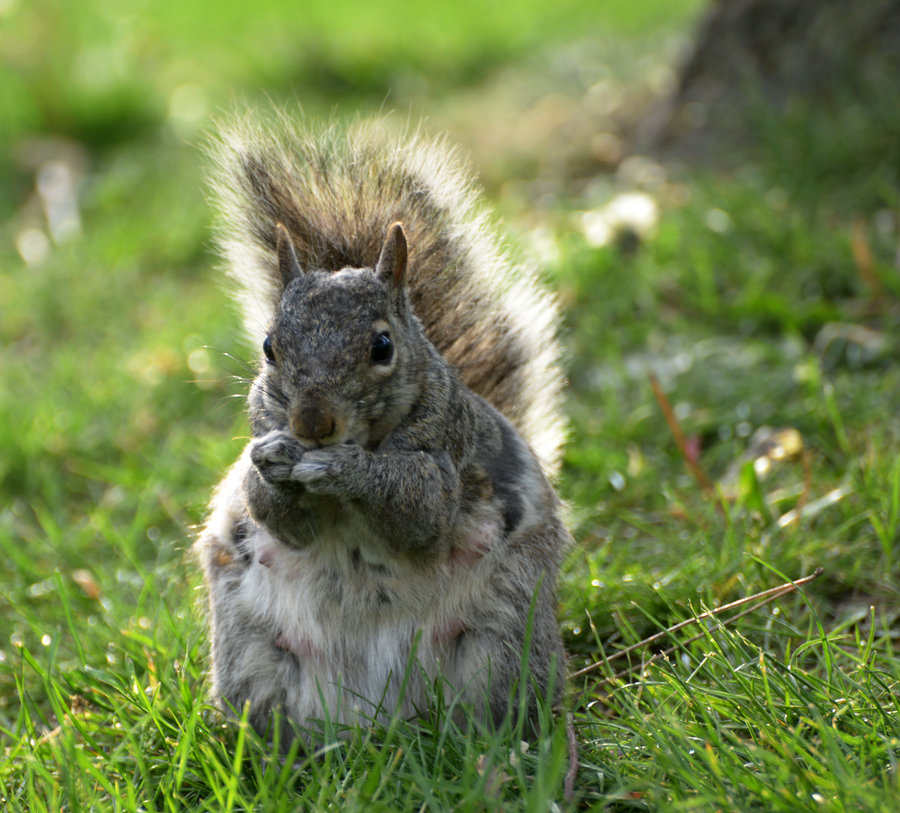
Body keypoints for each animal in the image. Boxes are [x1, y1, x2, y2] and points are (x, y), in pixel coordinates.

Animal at [195, 109, 568, 744]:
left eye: (383, 346)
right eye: (268, 347)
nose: (311, 423)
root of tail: (379, 720)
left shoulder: (444, 450)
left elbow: (419, 514)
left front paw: (349, 469)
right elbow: (281, 518)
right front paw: (272, 466)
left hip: (502, 645)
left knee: (496, 711)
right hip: (255, 656)